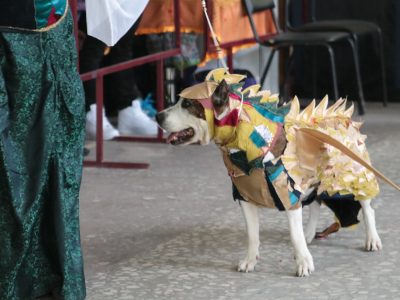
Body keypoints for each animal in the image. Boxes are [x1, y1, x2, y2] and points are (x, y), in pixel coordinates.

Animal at [155, 70, 382, 276]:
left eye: (187, 104)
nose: (158, 115)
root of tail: (343, 117)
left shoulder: (288, 196)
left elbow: (294, 235)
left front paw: (303, 262)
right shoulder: (245, 197)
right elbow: (252, 234)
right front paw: (250, 260)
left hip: (355, 174)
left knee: (367, 208)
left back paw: (372, 239)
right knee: (315, 203)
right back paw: (309, 233)